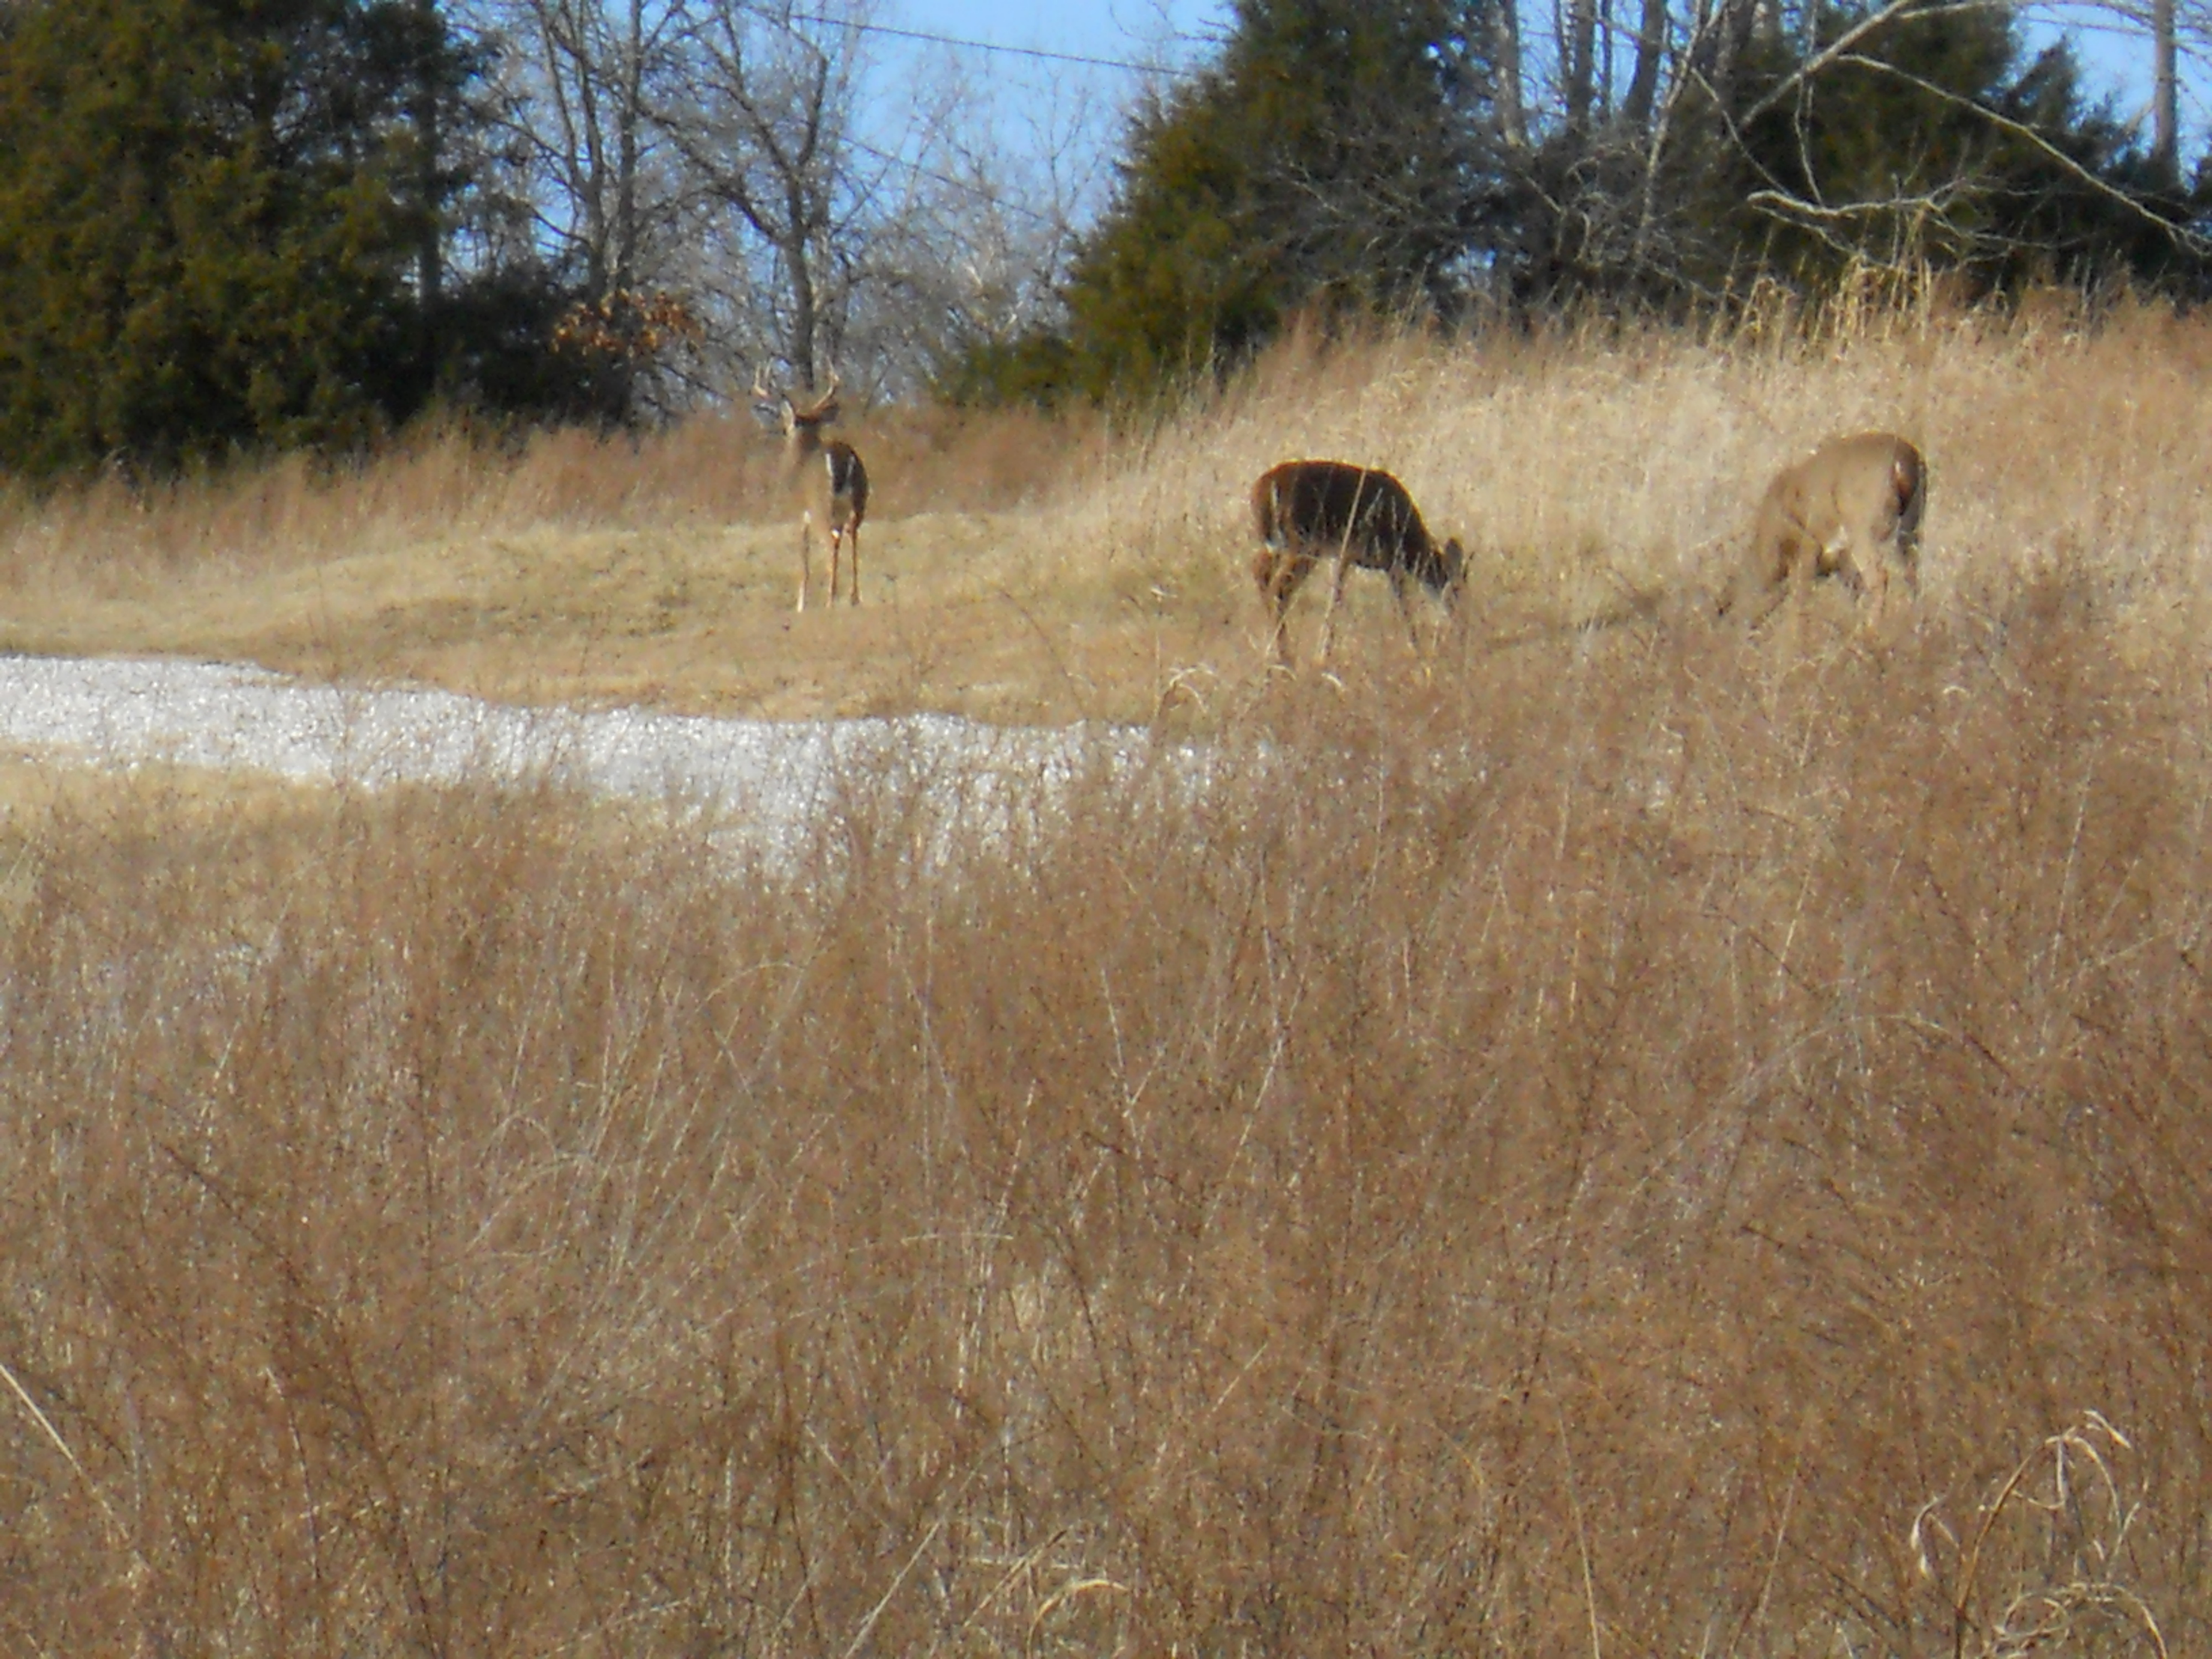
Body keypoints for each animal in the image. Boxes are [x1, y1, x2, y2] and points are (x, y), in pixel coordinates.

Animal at [757, 369, 867, 619]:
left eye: (788, 427)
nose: (783, 431)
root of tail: (843, 459)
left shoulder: (802, 514)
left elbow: (804, 559)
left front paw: (800, 605)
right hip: (858, 503)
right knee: (853, 537)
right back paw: (854, 597)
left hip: (821, 507)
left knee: (831, 542)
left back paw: (830, 600)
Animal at [1248, 462, 1469, 668]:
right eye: (1457, 589)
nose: (1460, 620)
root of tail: (1260, 492)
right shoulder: (1388, 560)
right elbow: (1403, 603)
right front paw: (1417, 649)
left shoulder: (1347, 557)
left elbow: (1336, 596)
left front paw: (1325, 651)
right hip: (1303, 543)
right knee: (1280, 589)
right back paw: (1286, 657)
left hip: (1280, 546)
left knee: (1261, 573)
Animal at [1717, 429, 1929, 628]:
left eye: (1730, 609)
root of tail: (1902, 461)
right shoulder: (1840, 560)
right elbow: (1853, 591)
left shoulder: (1807, 547)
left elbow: (1800, 600)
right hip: (1910, 524)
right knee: (1911, 574)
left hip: (1863, 527)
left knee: (1880, 577)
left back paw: (1870, 629)